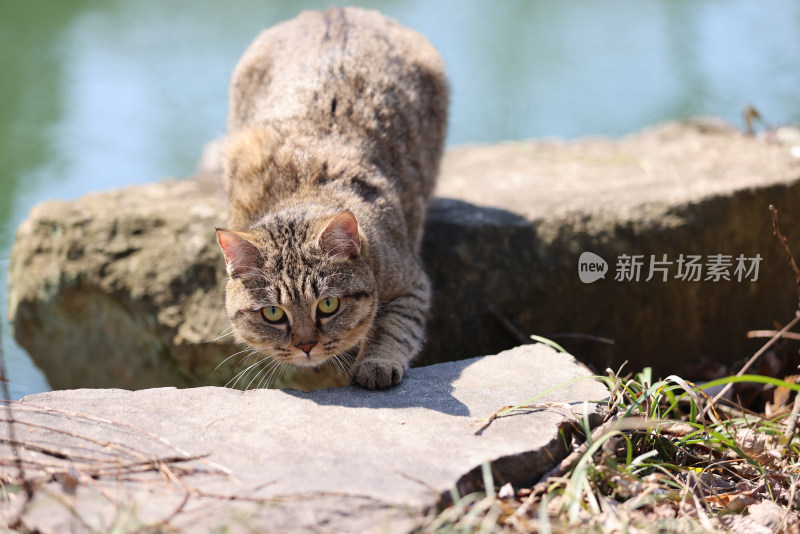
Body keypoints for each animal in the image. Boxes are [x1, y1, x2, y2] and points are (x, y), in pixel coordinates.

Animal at [216, 7, 446, 390]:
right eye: (273, 313)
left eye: (328, 305)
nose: (306, 344)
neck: (303, 191)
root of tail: (335, 9)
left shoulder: (411, 283)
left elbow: (392, 327)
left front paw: (377, 362)